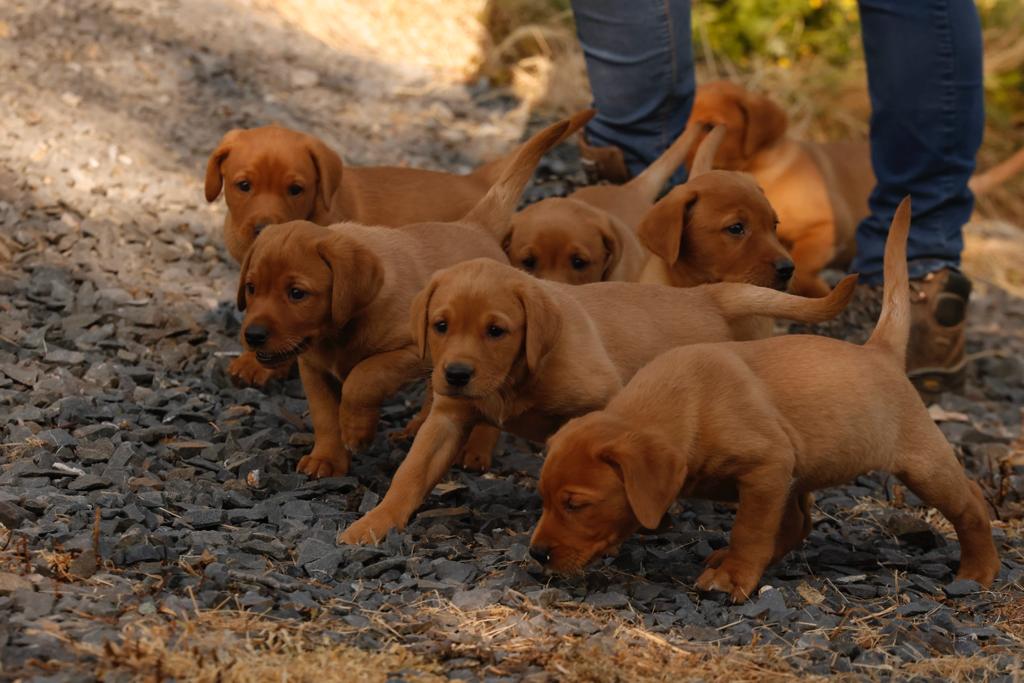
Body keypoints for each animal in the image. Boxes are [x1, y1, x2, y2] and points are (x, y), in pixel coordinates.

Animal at [234, 114, 585, 479]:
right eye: (251, 288)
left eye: (297, 293)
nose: (253, 335)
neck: (339, 331)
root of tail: (475, 226)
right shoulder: (313, 367)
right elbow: (324, 415)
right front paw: (327, 459)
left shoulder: (411, 352)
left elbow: (363, 377)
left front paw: (356, 431)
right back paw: (417, 427)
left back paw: (474, 449)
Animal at [337, 255, 856, 544]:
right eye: (441, 325)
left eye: (497, 331)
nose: (456, 374)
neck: (517, 375)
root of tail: (707, 297)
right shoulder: (447, 418)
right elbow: (410, 474)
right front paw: (377, 522)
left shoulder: (601, 398)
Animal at [528, 196, 999, 598]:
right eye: (544, 498)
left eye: (576, 504)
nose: (536, 554)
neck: (688, 404)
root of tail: (878, 350)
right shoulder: (777, 476)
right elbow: (773, 527)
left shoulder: (766, 469)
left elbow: (750, 531)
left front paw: (733, 578)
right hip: (805, 471)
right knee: (798, 524)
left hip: (924, 464)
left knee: (971, 503)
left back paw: (979, 570)